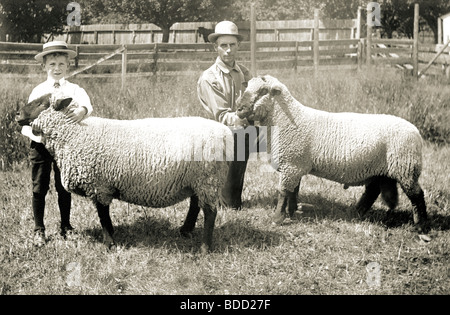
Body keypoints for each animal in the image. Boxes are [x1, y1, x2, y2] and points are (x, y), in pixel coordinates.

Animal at [15, 94, 234, 254]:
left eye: (40, 103)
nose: (16, 114)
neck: (74, 134)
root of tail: (225, 132)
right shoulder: (101, 186)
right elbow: (104, 217)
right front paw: (111, 236)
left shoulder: (100, 186)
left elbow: (103, 216)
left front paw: (110, 244)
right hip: (198, 180)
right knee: (196, 204)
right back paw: (185, 231)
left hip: (208, 178)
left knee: (210, 212)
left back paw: (205, 248)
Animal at [236, 75, 428, 233]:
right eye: (247, 87)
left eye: (263, 91)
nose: (239, 108)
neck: (288, 118)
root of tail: (416, 132)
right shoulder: (294, 165)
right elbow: (293, 191)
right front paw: (291, 212)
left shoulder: (291, 164)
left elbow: (283, 192)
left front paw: (277, 218)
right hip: (380, 169)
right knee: (372, 191)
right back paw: (356, 212)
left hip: (405, 168)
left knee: (417, 195)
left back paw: (420, 226)